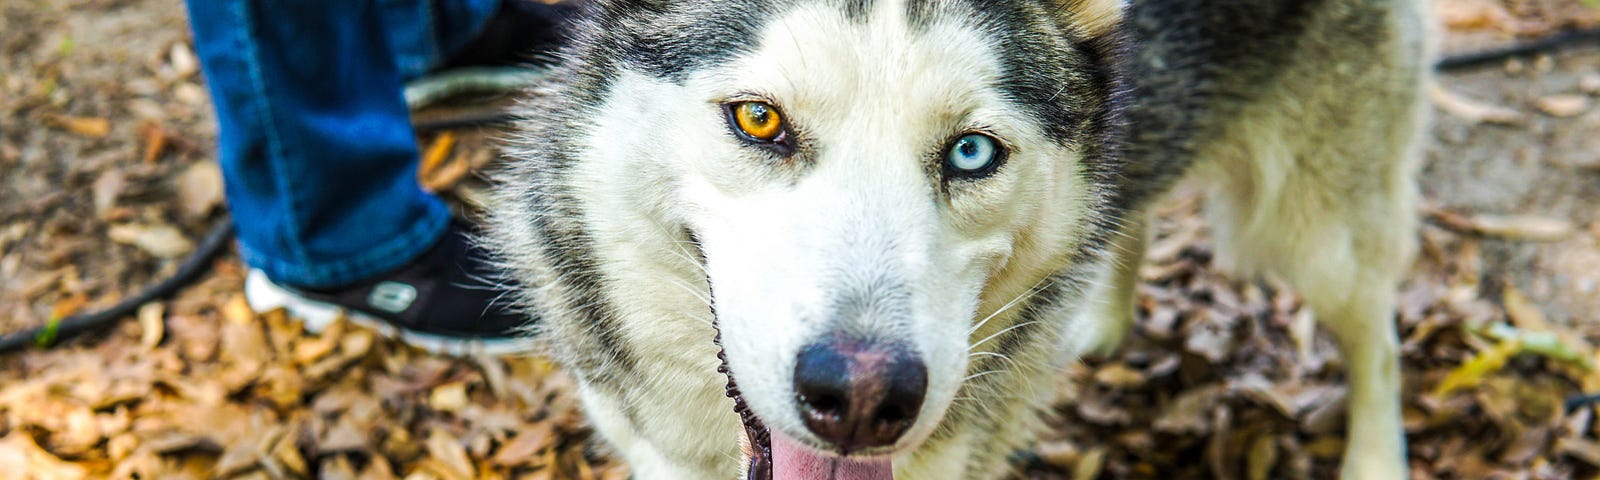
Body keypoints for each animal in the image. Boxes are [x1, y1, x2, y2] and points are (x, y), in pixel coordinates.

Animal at [486, 1, 1427, 476]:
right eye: (760, 120)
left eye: (972, 152)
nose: (861, 398)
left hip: (1308, 233)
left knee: (1378, 340)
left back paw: (1375, 460)